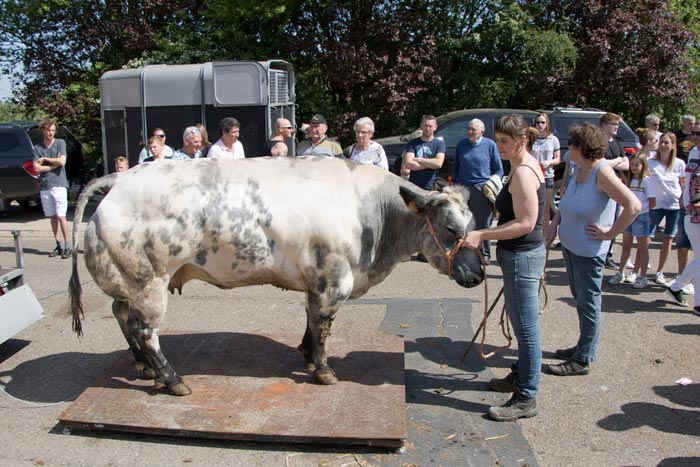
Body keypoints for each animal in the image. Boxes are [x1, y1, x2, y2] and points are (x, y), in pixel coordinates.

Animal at [71, 157, 486, 394]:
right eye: (451, 229)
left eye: (475, 225)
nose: (479, 273)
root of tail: (119, 180)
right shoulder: (334, 280)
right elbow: (322, 326)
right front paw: (323, 370)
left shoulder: (316, 281)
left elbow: (311, 320)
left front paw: (305, 354)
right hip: (149, 282)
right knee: (145, 329)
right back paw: (172, 380)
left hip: (127, 282)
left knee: (121, 315)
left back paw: (143, 367)